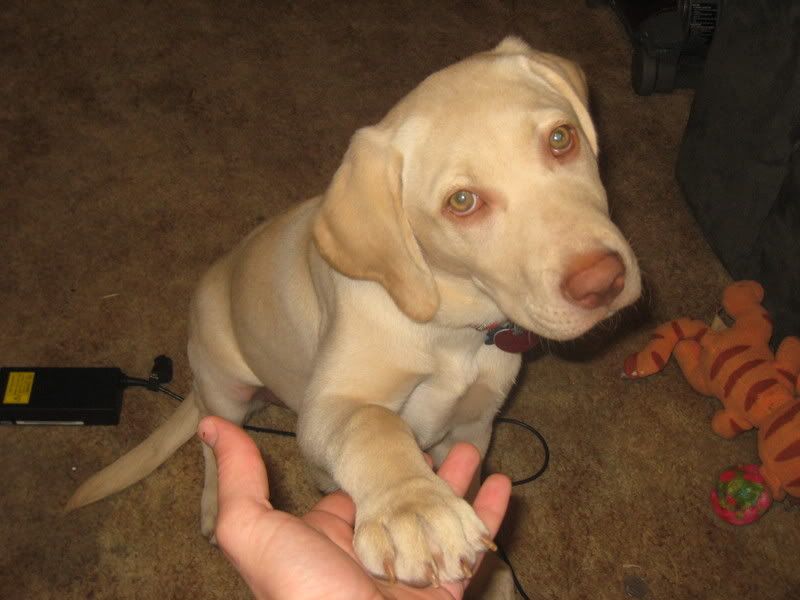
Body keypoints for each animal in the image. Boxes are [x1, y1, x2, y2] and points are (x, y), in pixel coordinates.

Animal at [69, 38, 644, 592]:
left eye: (561, 139)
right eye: (462, 201)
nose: (603, 282)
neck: (450, 330)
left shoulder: (473, 428)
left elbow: (476, 480)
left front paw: (490, 574)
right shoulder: (331, 404)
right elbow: (373, 424)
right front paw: (413, 507)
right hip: (224, 383)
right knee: (214, 441)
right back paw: (216, 503)